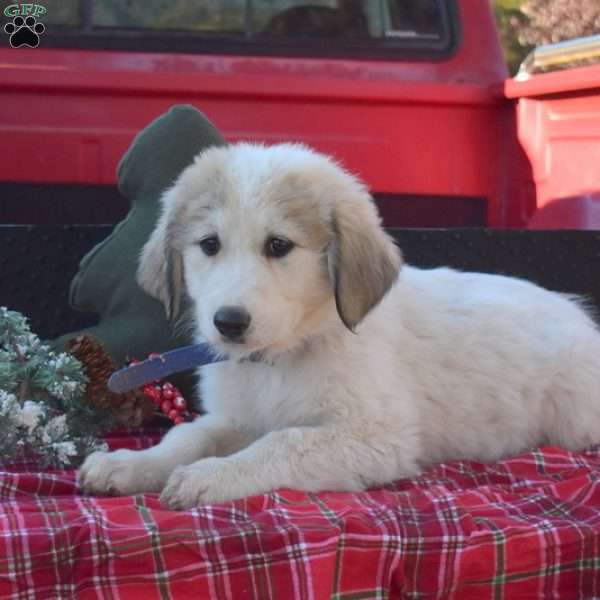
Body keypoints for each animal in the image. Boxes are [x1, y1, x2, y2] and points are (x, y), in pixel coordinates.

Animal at [77, 143, 600, 508]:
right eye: (209, 244)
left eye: (279, 245)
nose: (228, 322)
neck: (282, 358)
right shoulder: (237, 417)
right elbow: (188, 436)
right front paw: (130, 464)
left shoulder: (375, 436)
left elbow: (281, 443)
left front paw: (211, 475)